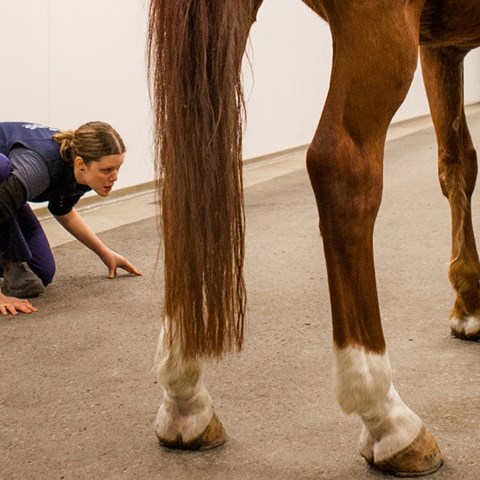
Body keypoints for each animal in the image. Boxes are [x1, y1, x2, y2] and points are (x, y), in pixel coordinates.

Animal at [145, 0, 480, 476]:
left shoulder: (441, 49)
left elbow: (457, 163)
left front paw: (469, 302)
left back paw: (185, 398)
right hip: (376, 26)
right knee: (343, 166)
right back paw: (388, 417)